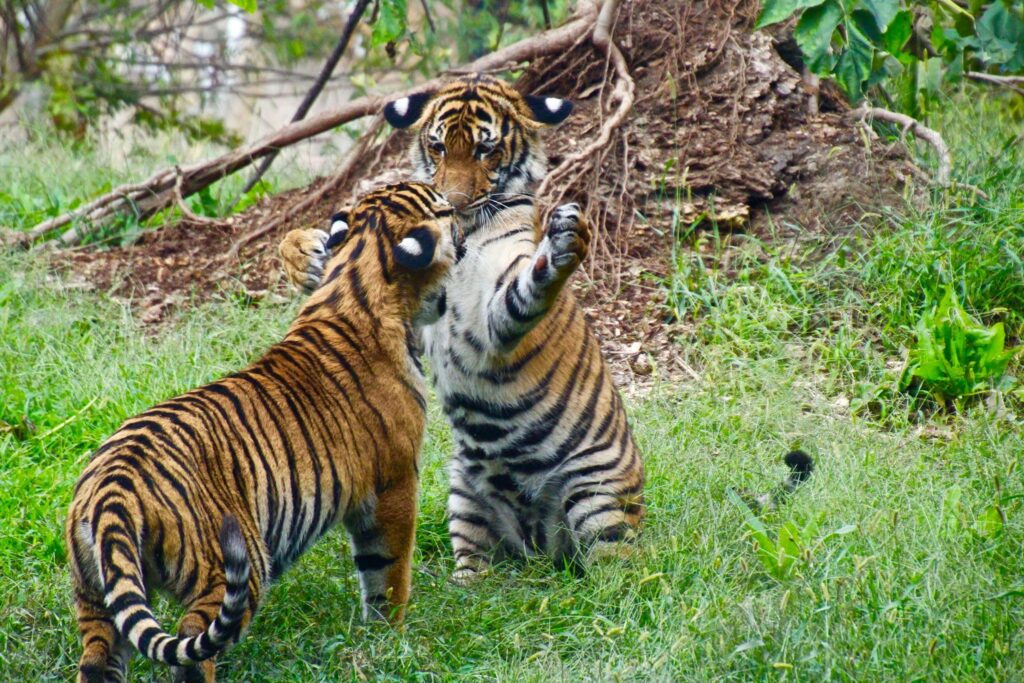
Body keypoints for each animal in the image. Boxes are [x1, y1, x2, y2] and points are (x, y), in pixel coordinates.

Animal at [65, 182, 457, 683]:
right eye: (445, 210)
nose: (464, 214)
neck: (357, 277)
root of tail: (112, 491)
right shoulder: (395, 482)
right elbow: (388, 573)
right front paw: (391, 638)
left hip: (95, 593)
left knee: (100, 658)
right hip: (231, 566)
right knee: (194, 644)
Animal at [279, 75, 647, 583]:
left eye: (485, 150)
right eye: (437, 146)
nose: (452, 205)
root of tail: (542, 550)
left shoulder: (487, 312)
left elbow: (525, 287)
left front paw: (564, 244)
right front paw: (303, 250)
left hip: (598, 497)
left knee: (616, 568)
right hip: (465, 495)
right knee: (479, 568)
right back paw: (465, 583)